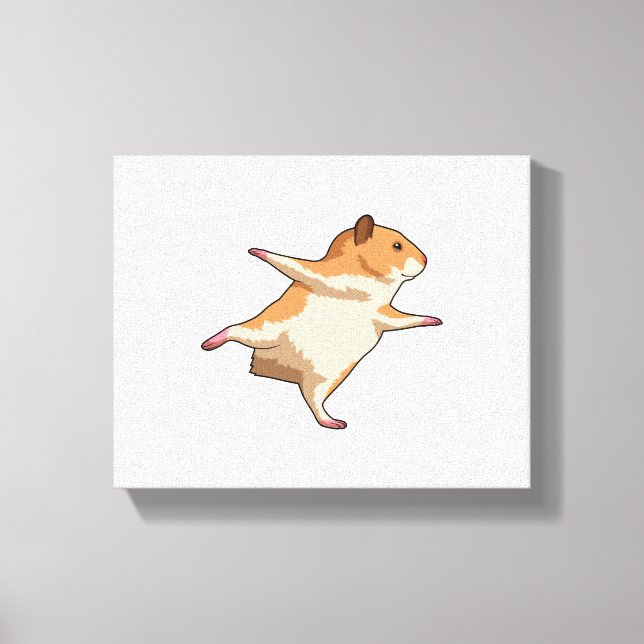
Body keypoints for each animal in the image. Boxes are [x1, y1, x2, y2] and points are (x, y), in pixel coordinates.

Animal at [201, 215, 442, 429]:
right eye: (397, 245)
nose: (426, 259)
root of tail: (277, 368)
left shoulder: (382, 313)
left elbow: (404, 319)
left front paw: (435, 320)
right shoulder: (324, 276)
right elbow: (292, 264)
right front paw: (257, 251)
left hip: (324, 379)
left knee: (314, 401)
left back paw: (334, 422)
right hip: (267, 329)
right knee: (234, 330)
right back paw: (209, 343)